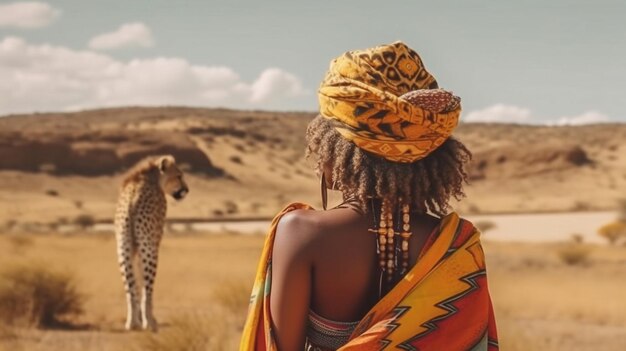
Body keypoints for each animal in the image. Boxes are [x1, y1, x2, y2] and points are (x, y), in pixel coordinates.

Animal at [113, 155, 188, 332]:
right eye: (179, 176)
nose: (186, 189)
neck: (151, 177)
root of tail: (132, 198)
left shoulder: (133, 249)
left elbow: (136, 283)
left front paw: (139, 319)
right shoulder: (152, 243)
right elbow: (143, 284)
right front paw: (146, 319)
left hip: (123, 249)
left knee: (129, 288)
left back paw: (132, 323)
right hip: (149, 250)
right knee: (148, 289)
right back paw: (150, 323)